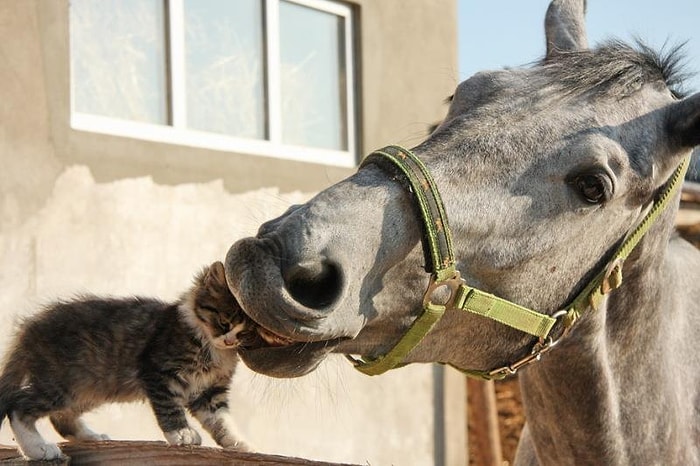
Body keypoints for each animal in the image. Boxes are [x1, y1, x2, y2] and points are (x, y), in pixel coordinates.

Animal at [0, 260, 258, 460]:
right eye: (224, 322)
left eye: (244, 333)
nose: (229, 341)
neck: (211, 348)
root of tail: (30, 327)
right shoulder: (159, 372)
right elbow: (170, 408)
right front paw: (181, 434)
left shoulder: (210, 392)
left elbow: (222, 420)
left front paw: (239, 443)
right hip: (62, 383)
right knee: (17, 405)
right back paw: (38, 449)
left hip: (89, 388)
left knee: (60, 416)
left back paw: (91, 437)